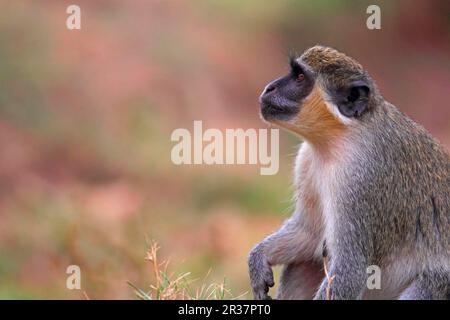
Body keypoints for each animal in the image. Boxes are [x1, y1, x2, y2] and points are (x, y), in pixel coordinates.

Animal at [248, 45, 450, 300]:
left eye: (300, 77)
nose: (269, 87)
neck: (340, 137)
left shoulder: (361, 178)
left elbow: (350, 270)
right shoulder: (306, 161)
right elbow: (308, 233)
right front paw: (258, 258)